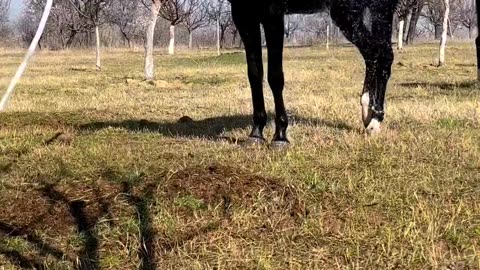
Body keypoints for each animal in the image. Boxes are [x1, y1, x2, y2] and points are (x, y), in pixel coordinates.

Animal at [231, 0, 400, 148]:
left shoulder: (273, 14)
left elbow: (275, 76)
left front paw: (280, 136)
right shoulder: (242, 15)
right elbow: (254, 74)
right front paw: (256, 133)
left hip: (358, 12)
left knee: (377, 53)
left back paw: (374, 120)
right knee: (378, 55)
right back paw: (369, 114)